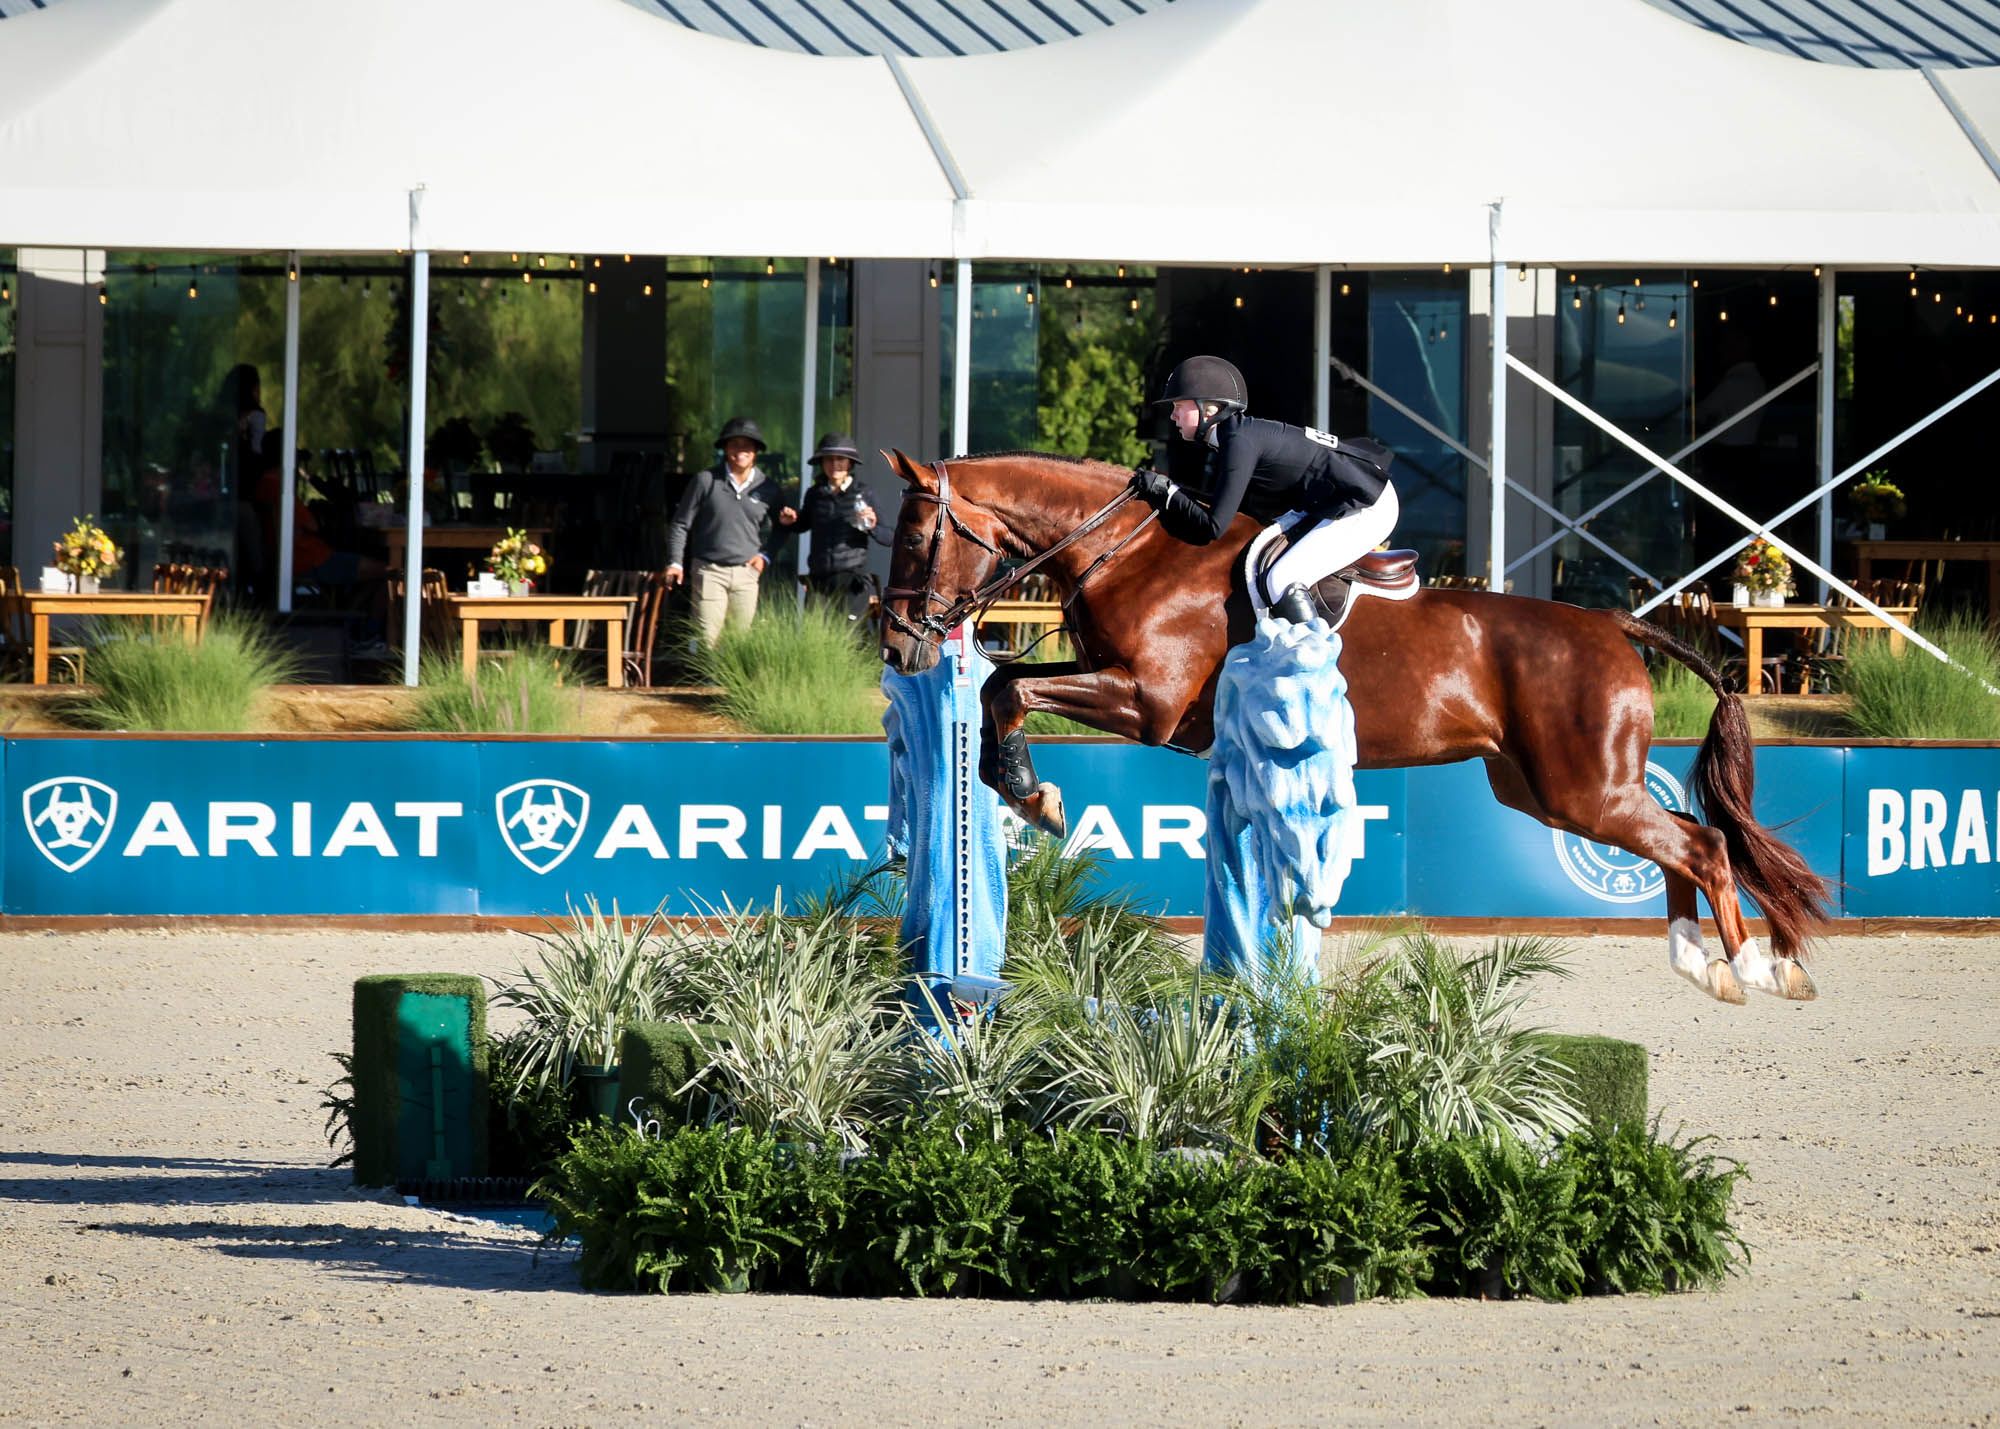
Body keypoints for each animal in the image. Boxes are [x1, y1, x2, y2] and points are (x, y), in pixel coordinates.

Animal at [876, 448, 1832, 1006]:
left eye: (917, 539)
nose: (895, 642)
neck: (1136, 551)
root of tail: (1614, 623)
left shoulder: (1145, 700)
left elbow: (1009, 688)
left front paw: (1031, 794)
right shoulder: (1124, 687)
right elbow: (1005, 684)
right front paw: (1023, 788)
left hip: (1582, 787)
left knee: (1703, 843)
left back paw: (1755, 967)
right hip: (1546, 790)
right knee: (1684, 838)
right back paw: (1699, 962)